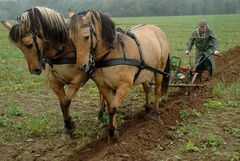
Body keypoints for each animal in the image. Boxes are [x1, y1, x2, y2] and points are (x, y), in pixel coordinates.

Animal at [0, 6, 106, 139]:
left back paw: (101, 115)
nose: (34, 70)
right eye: (19, 47)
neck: (63, 50)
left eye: (29, 45)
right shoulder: (54, 82)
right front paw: (67, 126)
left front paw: (69, 127)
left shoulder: (78, 79)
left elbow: (66, 101)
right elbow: (62, 103)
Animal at [69, 9, 171, 140]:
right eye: (71, 38)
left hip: (159, 69)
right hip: (144, 72)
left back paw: (156, 110)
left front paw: (112, 131)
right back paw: (147, 108)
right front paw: (113, 129)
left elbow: (113, 108)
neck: (111, 53)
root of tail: (158, 30)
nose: (81, 66)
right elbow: (110, 106)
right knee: (147, 88)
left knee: (157, 90)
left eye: (86, 37)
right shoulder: (104, 86)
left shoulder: (124, 86)